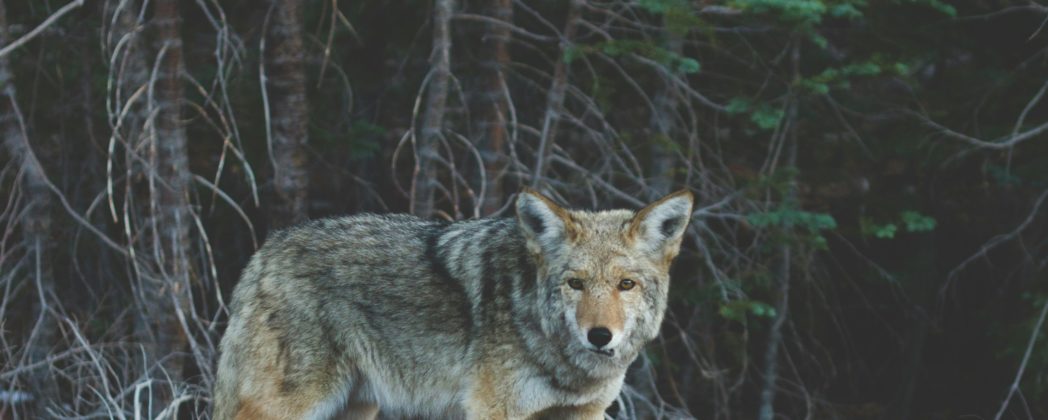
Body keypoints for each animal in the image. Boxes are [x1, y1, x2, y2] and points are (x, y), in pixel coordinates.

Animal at [213, 188, 693, 419]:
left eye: (626, 284)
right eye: (575, 284)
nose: (599, 336)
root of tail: (264, 251)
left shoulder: (582, 414)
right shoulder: (494, 411)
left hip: (354, 407)